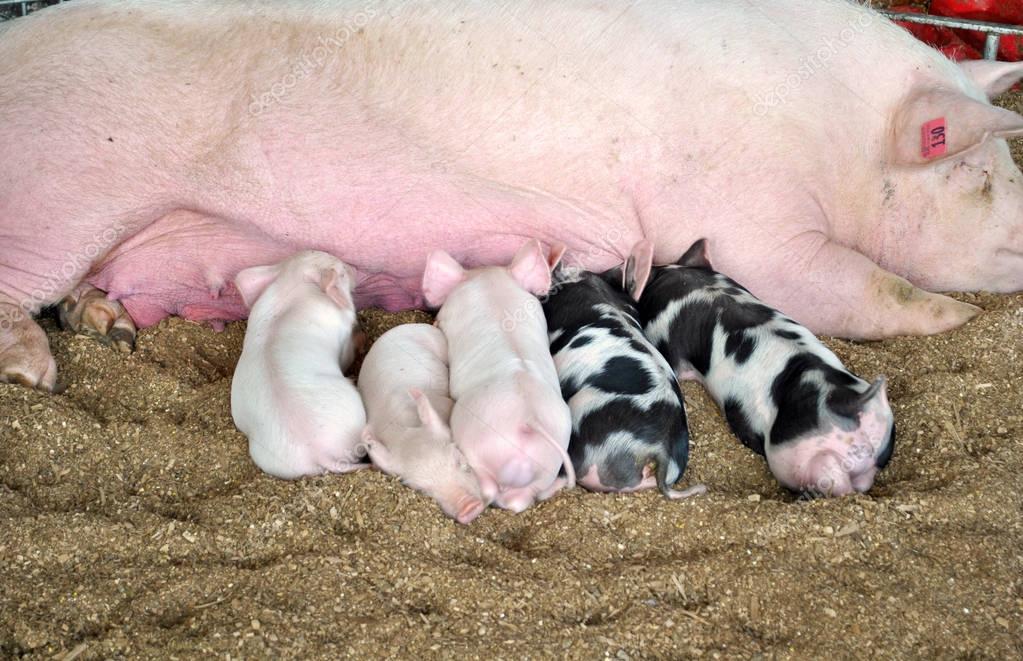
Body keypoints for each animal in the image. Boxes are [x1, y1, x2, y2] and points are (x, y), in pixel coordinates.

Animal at [3, 1, 1023, 392]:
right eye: (979, 172)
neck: (835, 133)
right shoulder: (745, 214)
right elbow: (844, 285)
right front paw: (954, 320)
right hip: (62, 183)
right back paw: (36, 371)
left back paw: (110, 328)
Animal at [357, 323, 486, 524]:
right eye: (422, 490)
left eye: (459, 459)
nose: (469, 507)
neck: (404, 430)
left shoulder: (445, 405)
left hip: (437, 341)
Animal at [423, 239, 575, 512]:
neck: (491, 286)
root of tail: (528, 421)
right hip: (547, 465)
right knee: (520, 500)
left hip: (476, 449)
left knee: (490, 489)